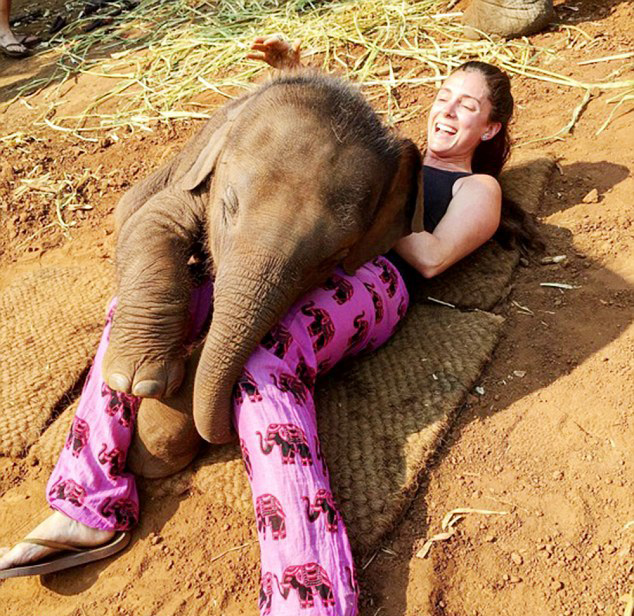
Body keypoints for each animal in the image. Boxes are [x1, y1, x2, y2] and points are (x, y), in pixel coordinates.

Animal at [103, 72, 424, 477]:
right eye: (229, 207)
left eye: (333, 257)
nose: (227, 433)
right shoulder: (197, 177)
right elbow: (152, 222)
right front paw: (136, 381)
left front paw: (157, 438)